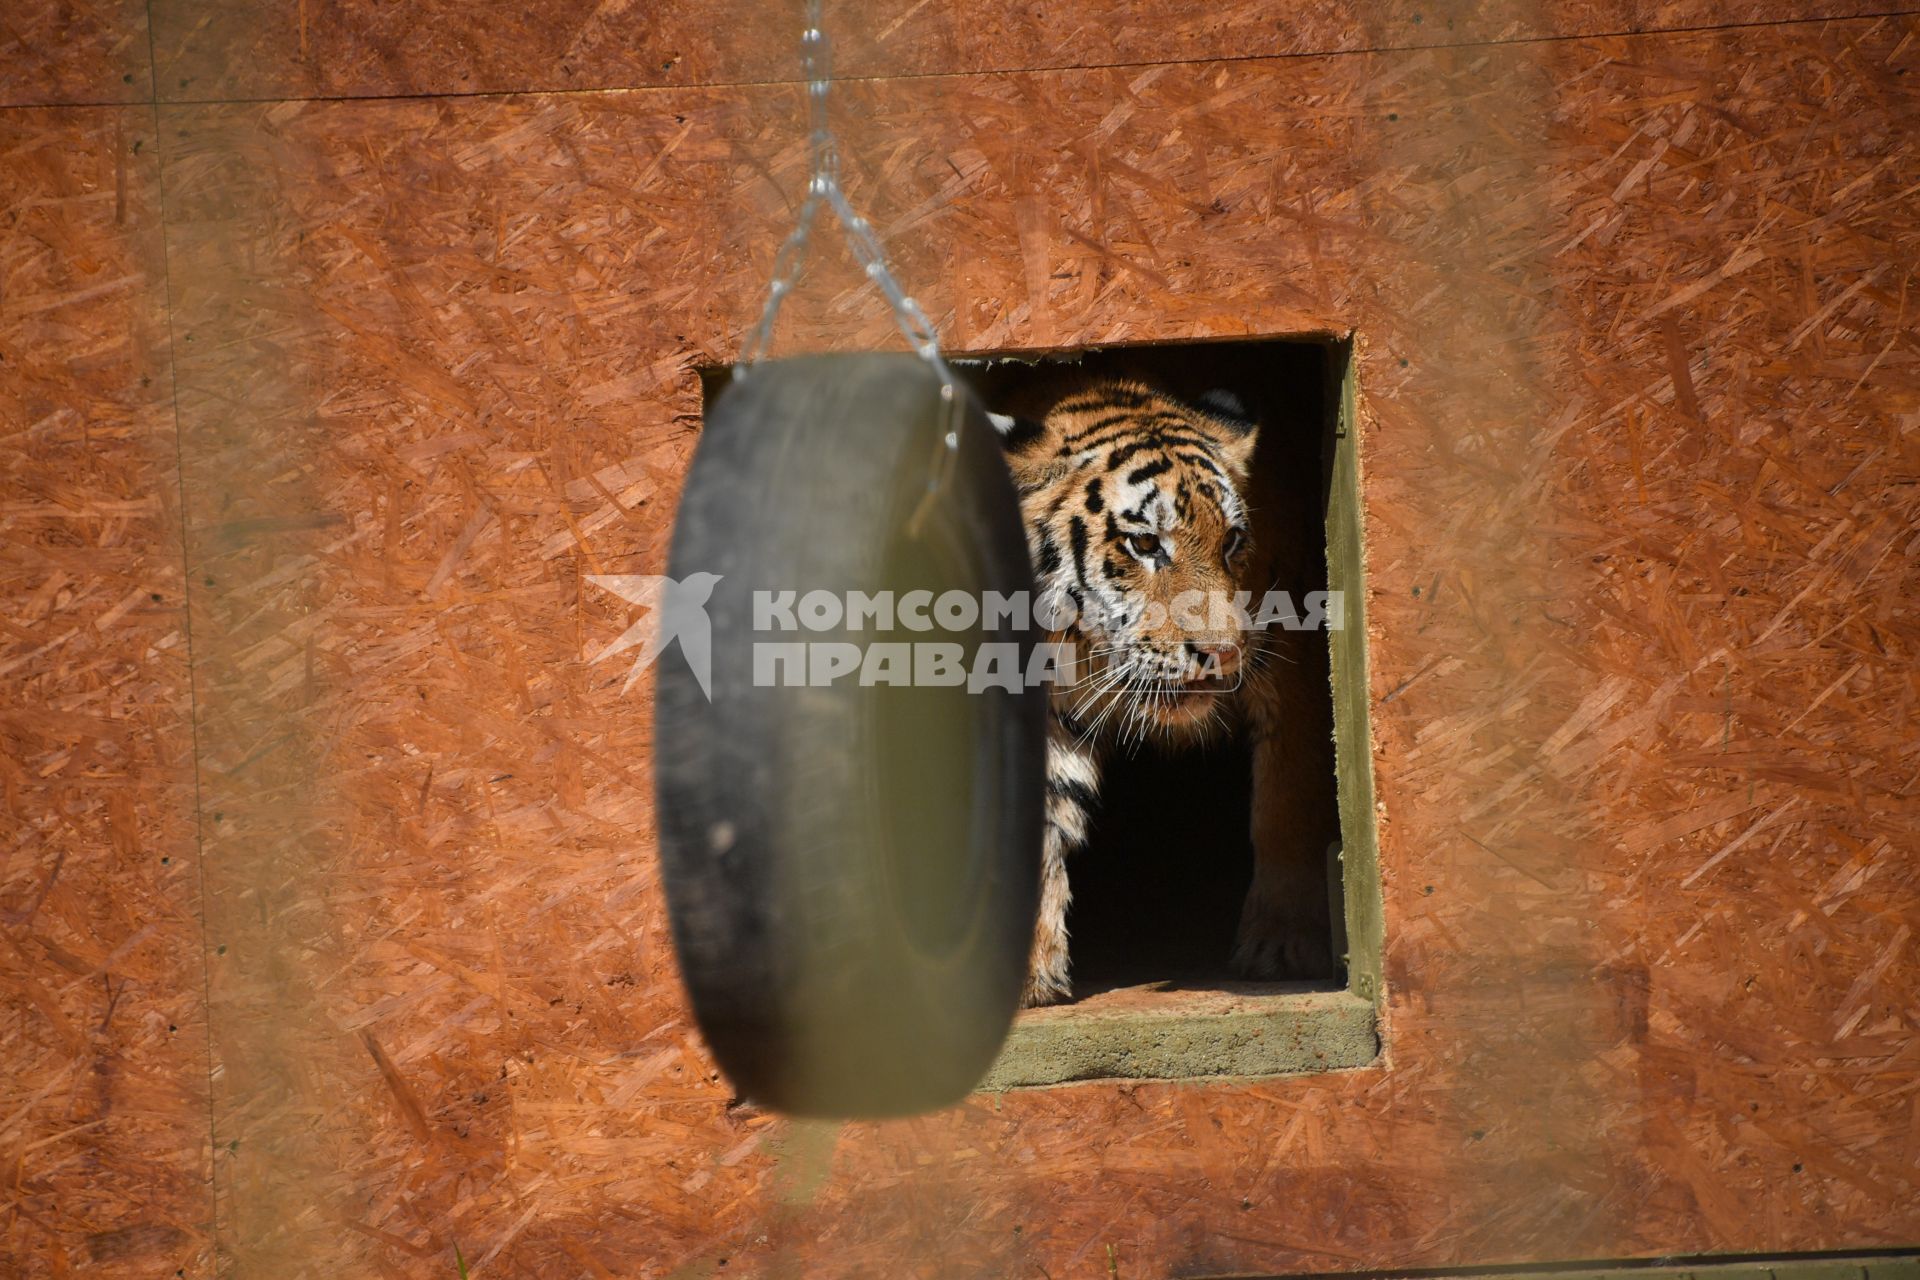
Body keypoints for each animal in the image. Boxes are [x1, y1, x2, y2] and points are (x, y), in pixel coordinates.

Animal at [990, 376, 1336, 1005]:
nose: (1223, 652)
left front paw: (1285, 944)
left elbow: (1287, 803)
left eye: (1231, 541)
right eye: (1146, 545)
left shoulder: (1290, 659)